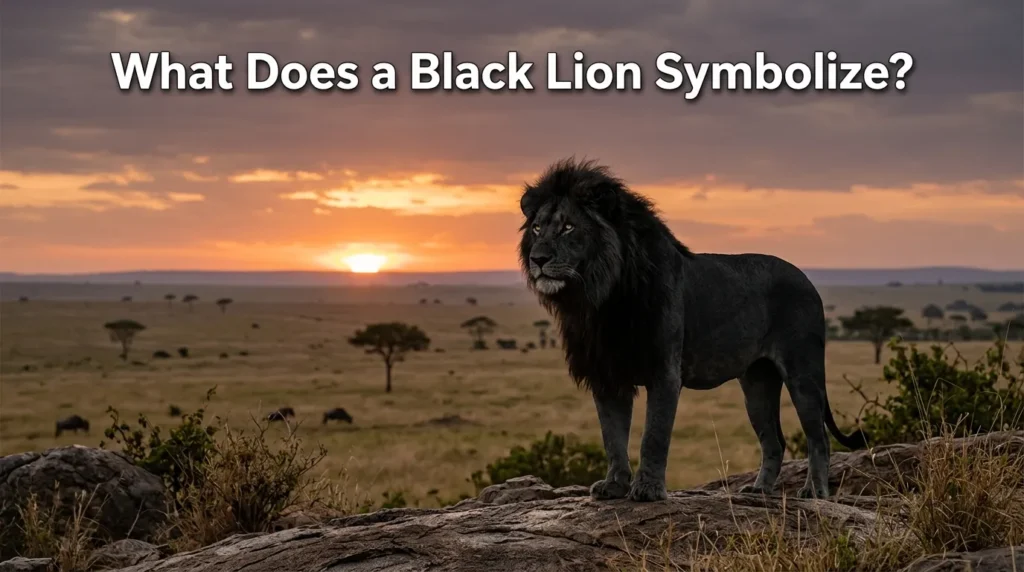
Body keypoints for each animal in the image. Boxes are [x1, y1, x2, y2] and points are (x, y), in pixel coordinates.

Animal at [517, 158, 868, 502]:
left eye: (568, 227)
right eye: (537, 228)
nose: (538, 258)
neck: (600, 297)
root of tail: (807, 280)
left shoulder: (664, 371)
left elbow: (653, 435)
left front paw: (648, 491)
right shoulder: (608, 374)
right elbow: (612, 436)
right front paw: (613, 486)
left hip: (802, 372)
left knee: (818, 436)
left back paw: (815, 492)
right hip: (757, 383)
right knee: (775, 440)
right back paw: (758, 490)